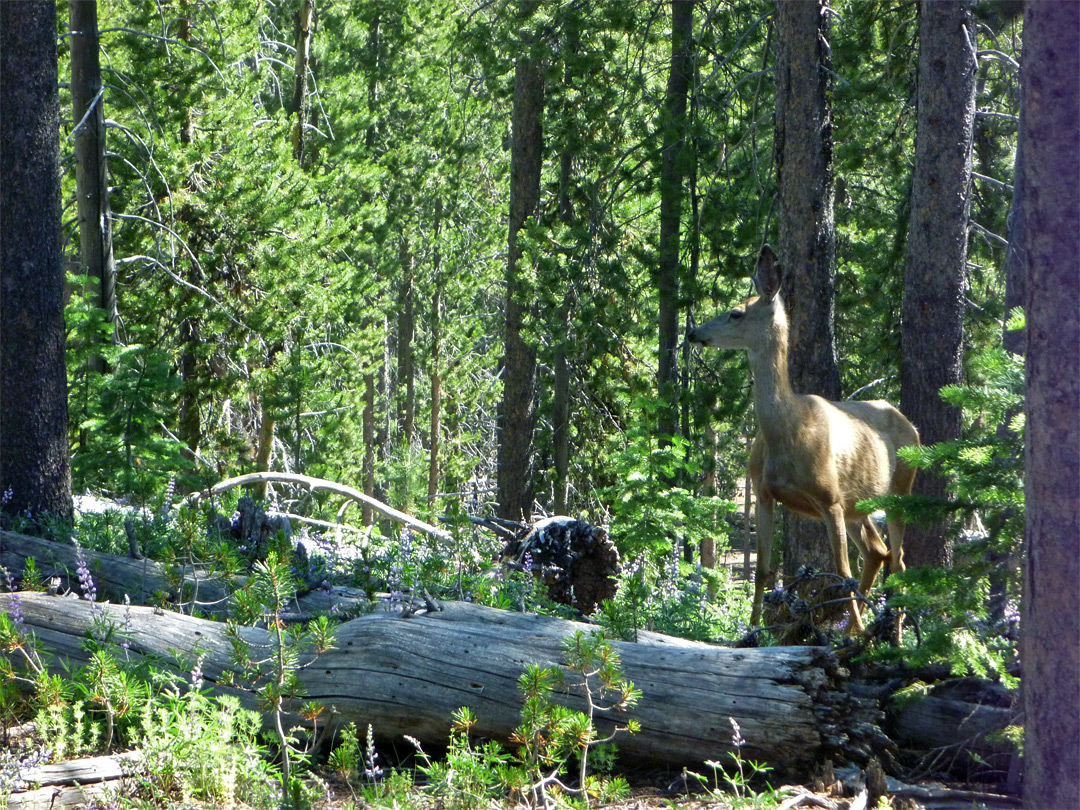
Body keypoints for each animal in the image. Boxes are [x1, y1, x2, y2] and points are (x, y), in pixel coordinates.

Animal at [691, 244, 920, 639]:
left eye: (735, 313)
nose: (693, 332)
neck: (788, 429)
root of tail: (915, 429)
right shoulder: (763, 492)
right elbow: (762, 572)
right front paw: (750, 633)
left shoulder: (830, 499)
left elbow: (841, 572)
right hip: (859, 505)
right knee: (878, 552)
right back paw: (855, 630)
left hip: (898, 491)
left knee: (899, 561)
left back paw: (889, 634)